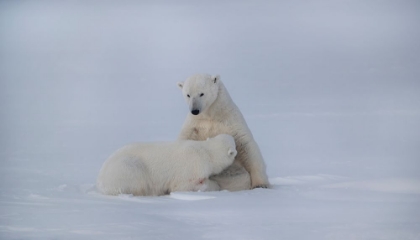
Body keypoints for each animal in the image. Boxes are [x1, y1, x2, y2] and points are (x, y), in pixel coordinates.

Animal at [96, 134, 238, 196]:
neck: (206, 153)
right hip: (125, 169)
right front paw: (213, 185)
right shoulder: (191, 167)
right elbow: (180, 186)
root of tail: (101, 181)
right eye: (235, 145)